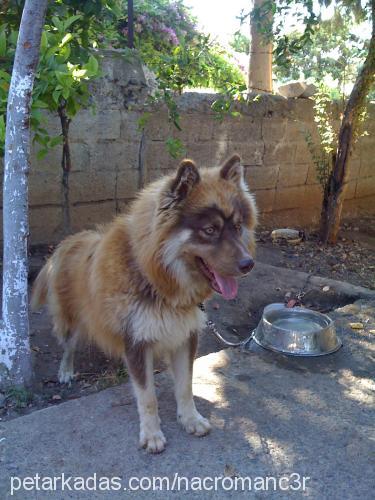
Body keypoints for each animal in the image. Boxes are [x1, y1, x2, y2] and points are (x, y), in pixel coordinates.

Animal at [30, 153, 258, 454]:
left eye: (237, 227)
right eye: (210, 230)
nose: (248, 264)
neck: (157, 282)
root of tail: (71, 242)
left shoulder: (185, 337)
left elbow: (185, 386)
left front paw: (190, 419)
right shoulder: (137, 342)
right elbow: (147, 395)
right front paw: (151, 434)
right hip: (75, 321)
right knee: (69, 346)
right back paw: (66, 371)